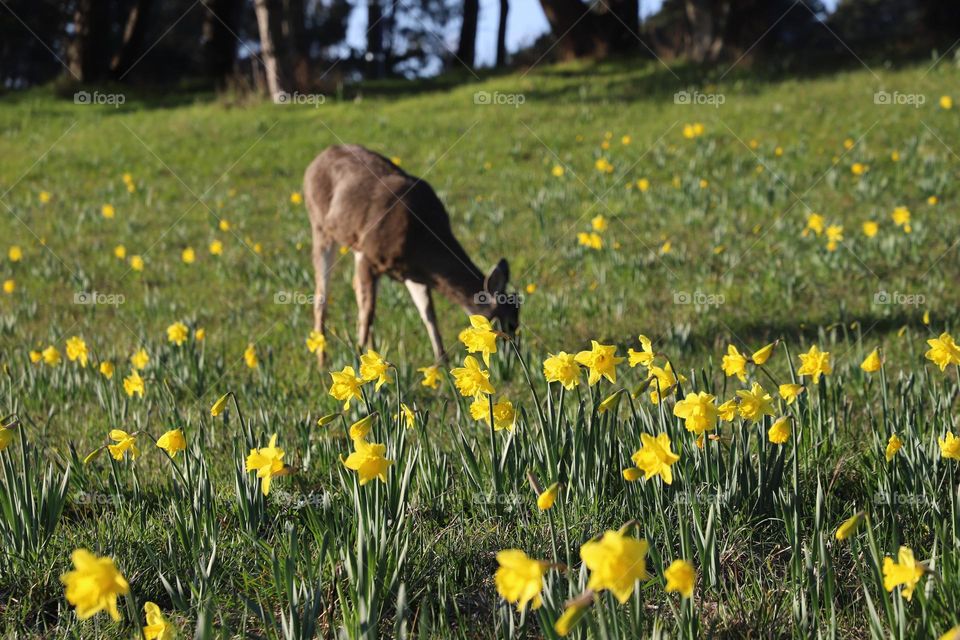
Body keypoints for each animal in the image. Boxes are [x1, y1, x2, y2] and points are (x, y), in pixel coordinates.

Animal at [306, 145, 516, 364]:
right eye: (507, 321)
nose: (512, 356)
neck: (421, 238)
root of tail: (320, 156)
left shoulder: (412, 272)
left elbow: (428, 314)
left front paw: (441, 362)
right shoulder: (368, 254)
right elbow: (368, 313)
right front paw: (359, 360)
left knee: (356, 289)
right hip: (320, 227)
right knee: (322, 295)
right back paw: (322, 361)